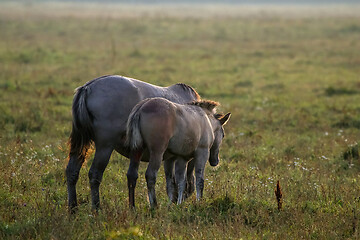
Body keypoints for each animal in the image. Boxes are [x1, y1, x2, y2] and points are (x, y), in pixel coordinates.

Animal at [65, 75, 200, 212]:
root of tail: (87, 87)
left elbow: (168, 180)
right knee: (95, 174)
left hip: (81, 145)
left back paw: (73, 208)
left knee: (72, 171)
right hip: (105, 147)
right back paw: (96, 208)